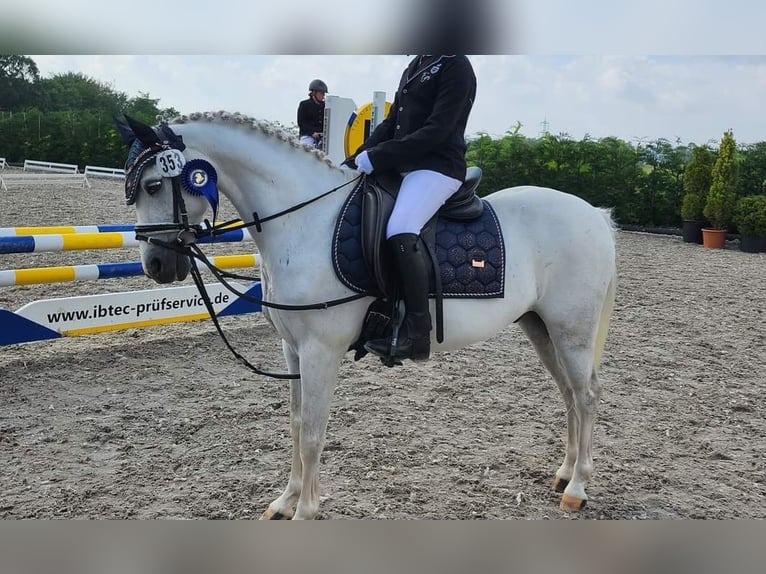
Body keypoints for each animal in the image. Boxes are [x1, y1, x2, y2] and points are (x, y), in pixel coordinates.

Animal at [118, 110, 616, 520]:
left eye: (154, 185)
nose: (156, 265)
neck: (306, 222)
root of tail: (594, 213)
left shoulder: (321, 351)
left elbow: (314, 432)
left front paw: (306, 512)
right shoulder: (292, 349)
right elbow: (295, 425)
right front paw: (285, 501)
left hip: (571, 330)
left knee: (588, 395)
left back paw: (577, 488)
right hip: (541, 328)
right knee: (569, 395)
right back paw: (563, 472)